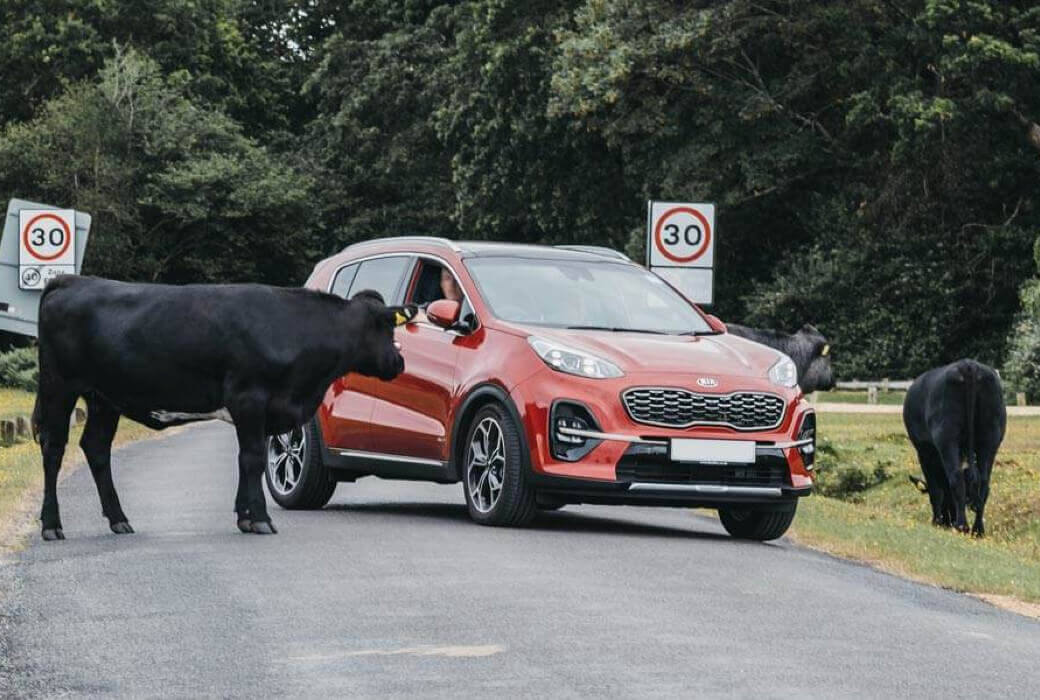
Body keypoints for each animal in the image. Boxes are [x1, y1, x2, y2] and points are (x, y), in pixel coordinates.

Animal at [33, 276, 413, 536]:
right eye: (385, 326)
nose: (399, 362)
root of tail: (74, 280)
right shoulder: (249, 397)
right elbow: (253, 459)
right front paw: (260, 519)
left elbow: (246, 461)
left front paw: (244, 517)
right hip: (59, 386)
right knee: (54, 448)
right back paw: (52, 525)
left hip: (104, 397)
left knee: (96, 448)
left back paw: (119, 519)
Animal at [902, 359, 1006, 536]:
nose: (948, 520)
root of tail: (968, 365)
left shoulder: (924, 451)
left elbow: (936, 489)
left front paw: (936, 522)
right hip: (991, 435)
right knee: (984, 482)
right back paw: (978, 529)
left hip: (947, 437)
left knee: (956, 478)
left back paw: (961, 526)